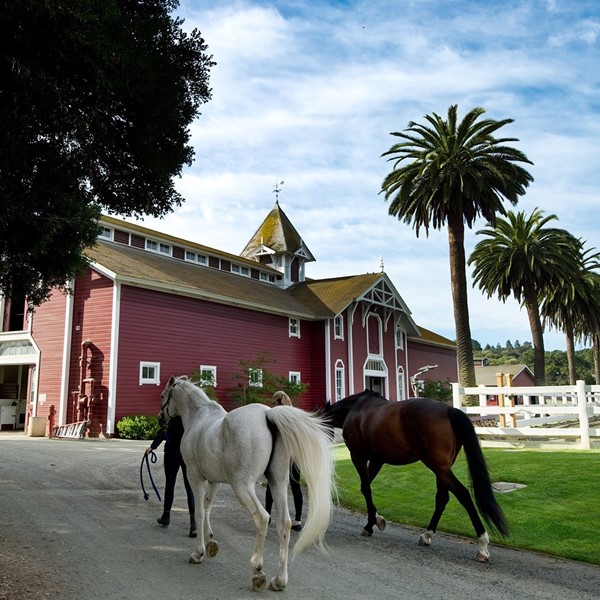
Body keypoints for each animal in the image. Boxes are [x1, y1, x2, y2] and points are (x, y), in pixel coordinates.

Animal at [159, 378, 336, 592]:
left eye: (163, 396)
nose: (160, 419)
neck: (199, 417)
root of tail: (268, 415)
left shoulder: (195, 477)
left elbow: (199, 511)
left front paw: (198, 552)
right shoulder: (214, 480)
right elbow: (208, 507)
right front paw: (210, 543)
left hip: (242, 486)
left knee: (262, 518)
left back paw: (258, 571)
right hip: (277, 482)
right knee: (284, 523)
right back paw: (279, 580)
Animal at [322, 392, 508, 560]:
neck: (355, 409)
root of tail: (449, 410)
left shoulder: (358, 457)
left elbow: (365, 489)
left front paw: (370, 525)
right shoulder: (377, 460)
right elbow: (366, 487)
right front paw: (375, 520)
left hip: (438, 467)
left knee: (463, 494)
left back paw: (482, 545)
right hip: (442, 469)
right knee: (442, 498)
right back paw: (427, 535)